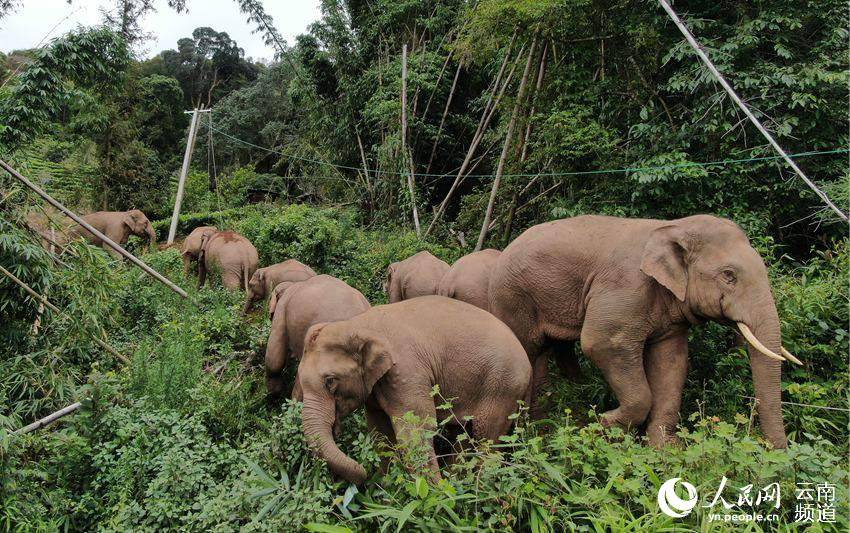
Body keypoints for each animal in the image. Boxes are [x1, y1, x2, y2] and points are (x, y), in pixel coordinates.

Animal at [486, 213, 800, 448]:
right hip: (512, 297)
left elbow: (671, 361)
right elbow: (602, 343)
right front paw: (600, 425)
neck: (674, 226)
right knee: (529, 349)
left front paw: (665, 449)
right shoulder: (625, 287)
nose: (775, 453)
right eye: (729, 275)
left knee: (547, 350)